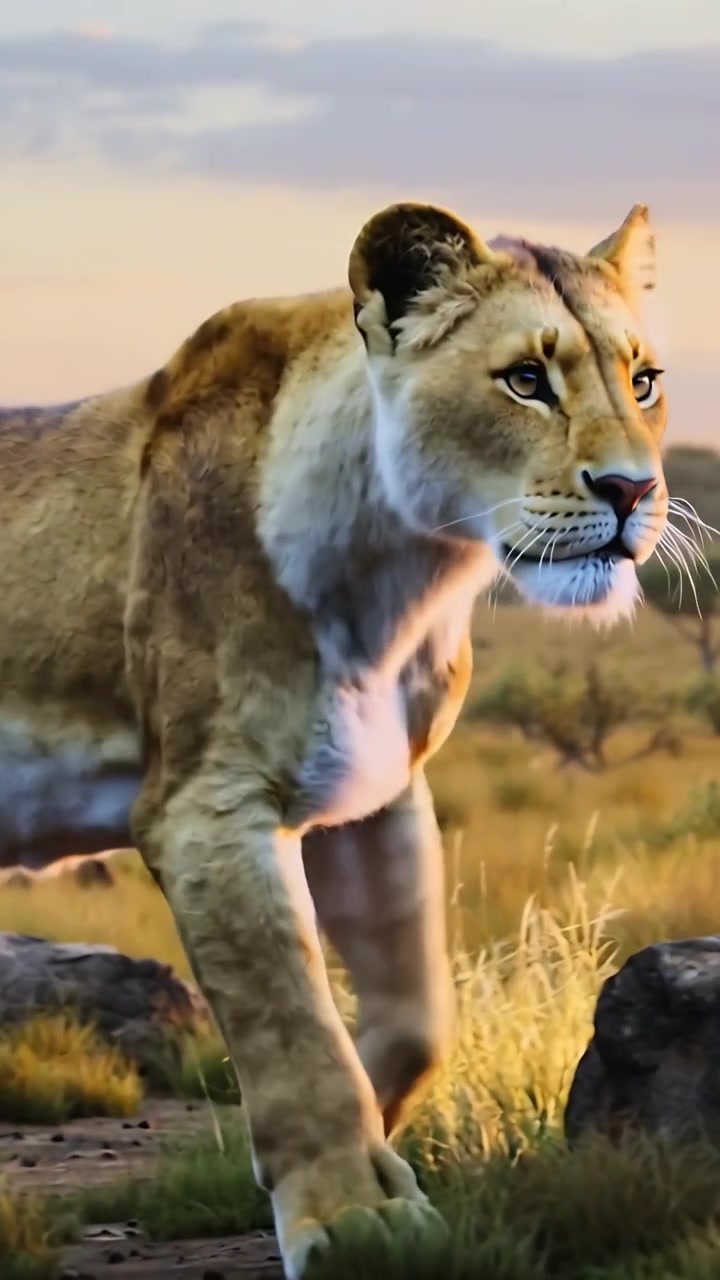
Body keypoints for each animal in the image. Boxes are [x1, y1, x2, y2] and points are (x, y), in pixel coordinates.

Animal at [0, 200, 668, 1277]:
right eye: (526, 380)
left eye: (643, 379)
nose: (634, 492)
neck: (409, 572)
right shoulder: (206, 805)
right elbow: (293, 1026)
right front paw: (353, 1219)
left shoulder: (375, 790)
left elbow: (412, 1020)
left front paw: (335, 1162)